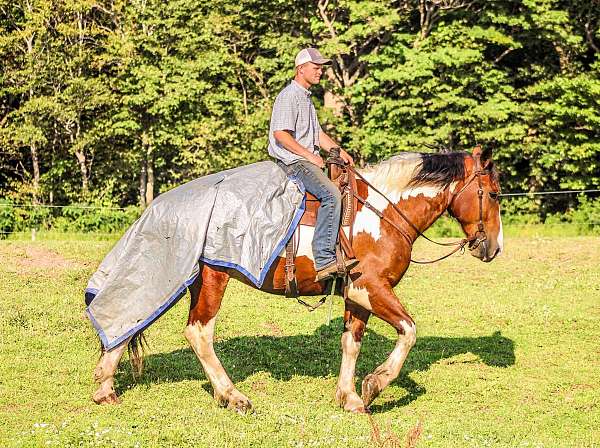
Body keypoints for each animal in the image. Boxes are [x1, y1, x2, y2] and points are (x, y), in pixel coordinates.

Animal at [90, 146, 502, 412]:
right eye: (494, 194)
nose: (494, 248)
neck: (383, 213)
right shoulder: (371, 287)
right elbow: (409, 330)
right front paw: (375, 384)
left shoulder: (356, 294)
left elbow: (351, 343)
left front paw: (350, 396)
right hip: (211, 279)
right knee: (198, 332)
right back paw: (233, 396)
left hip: (182, 278)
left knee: (130, 316)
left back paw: (106, 388)